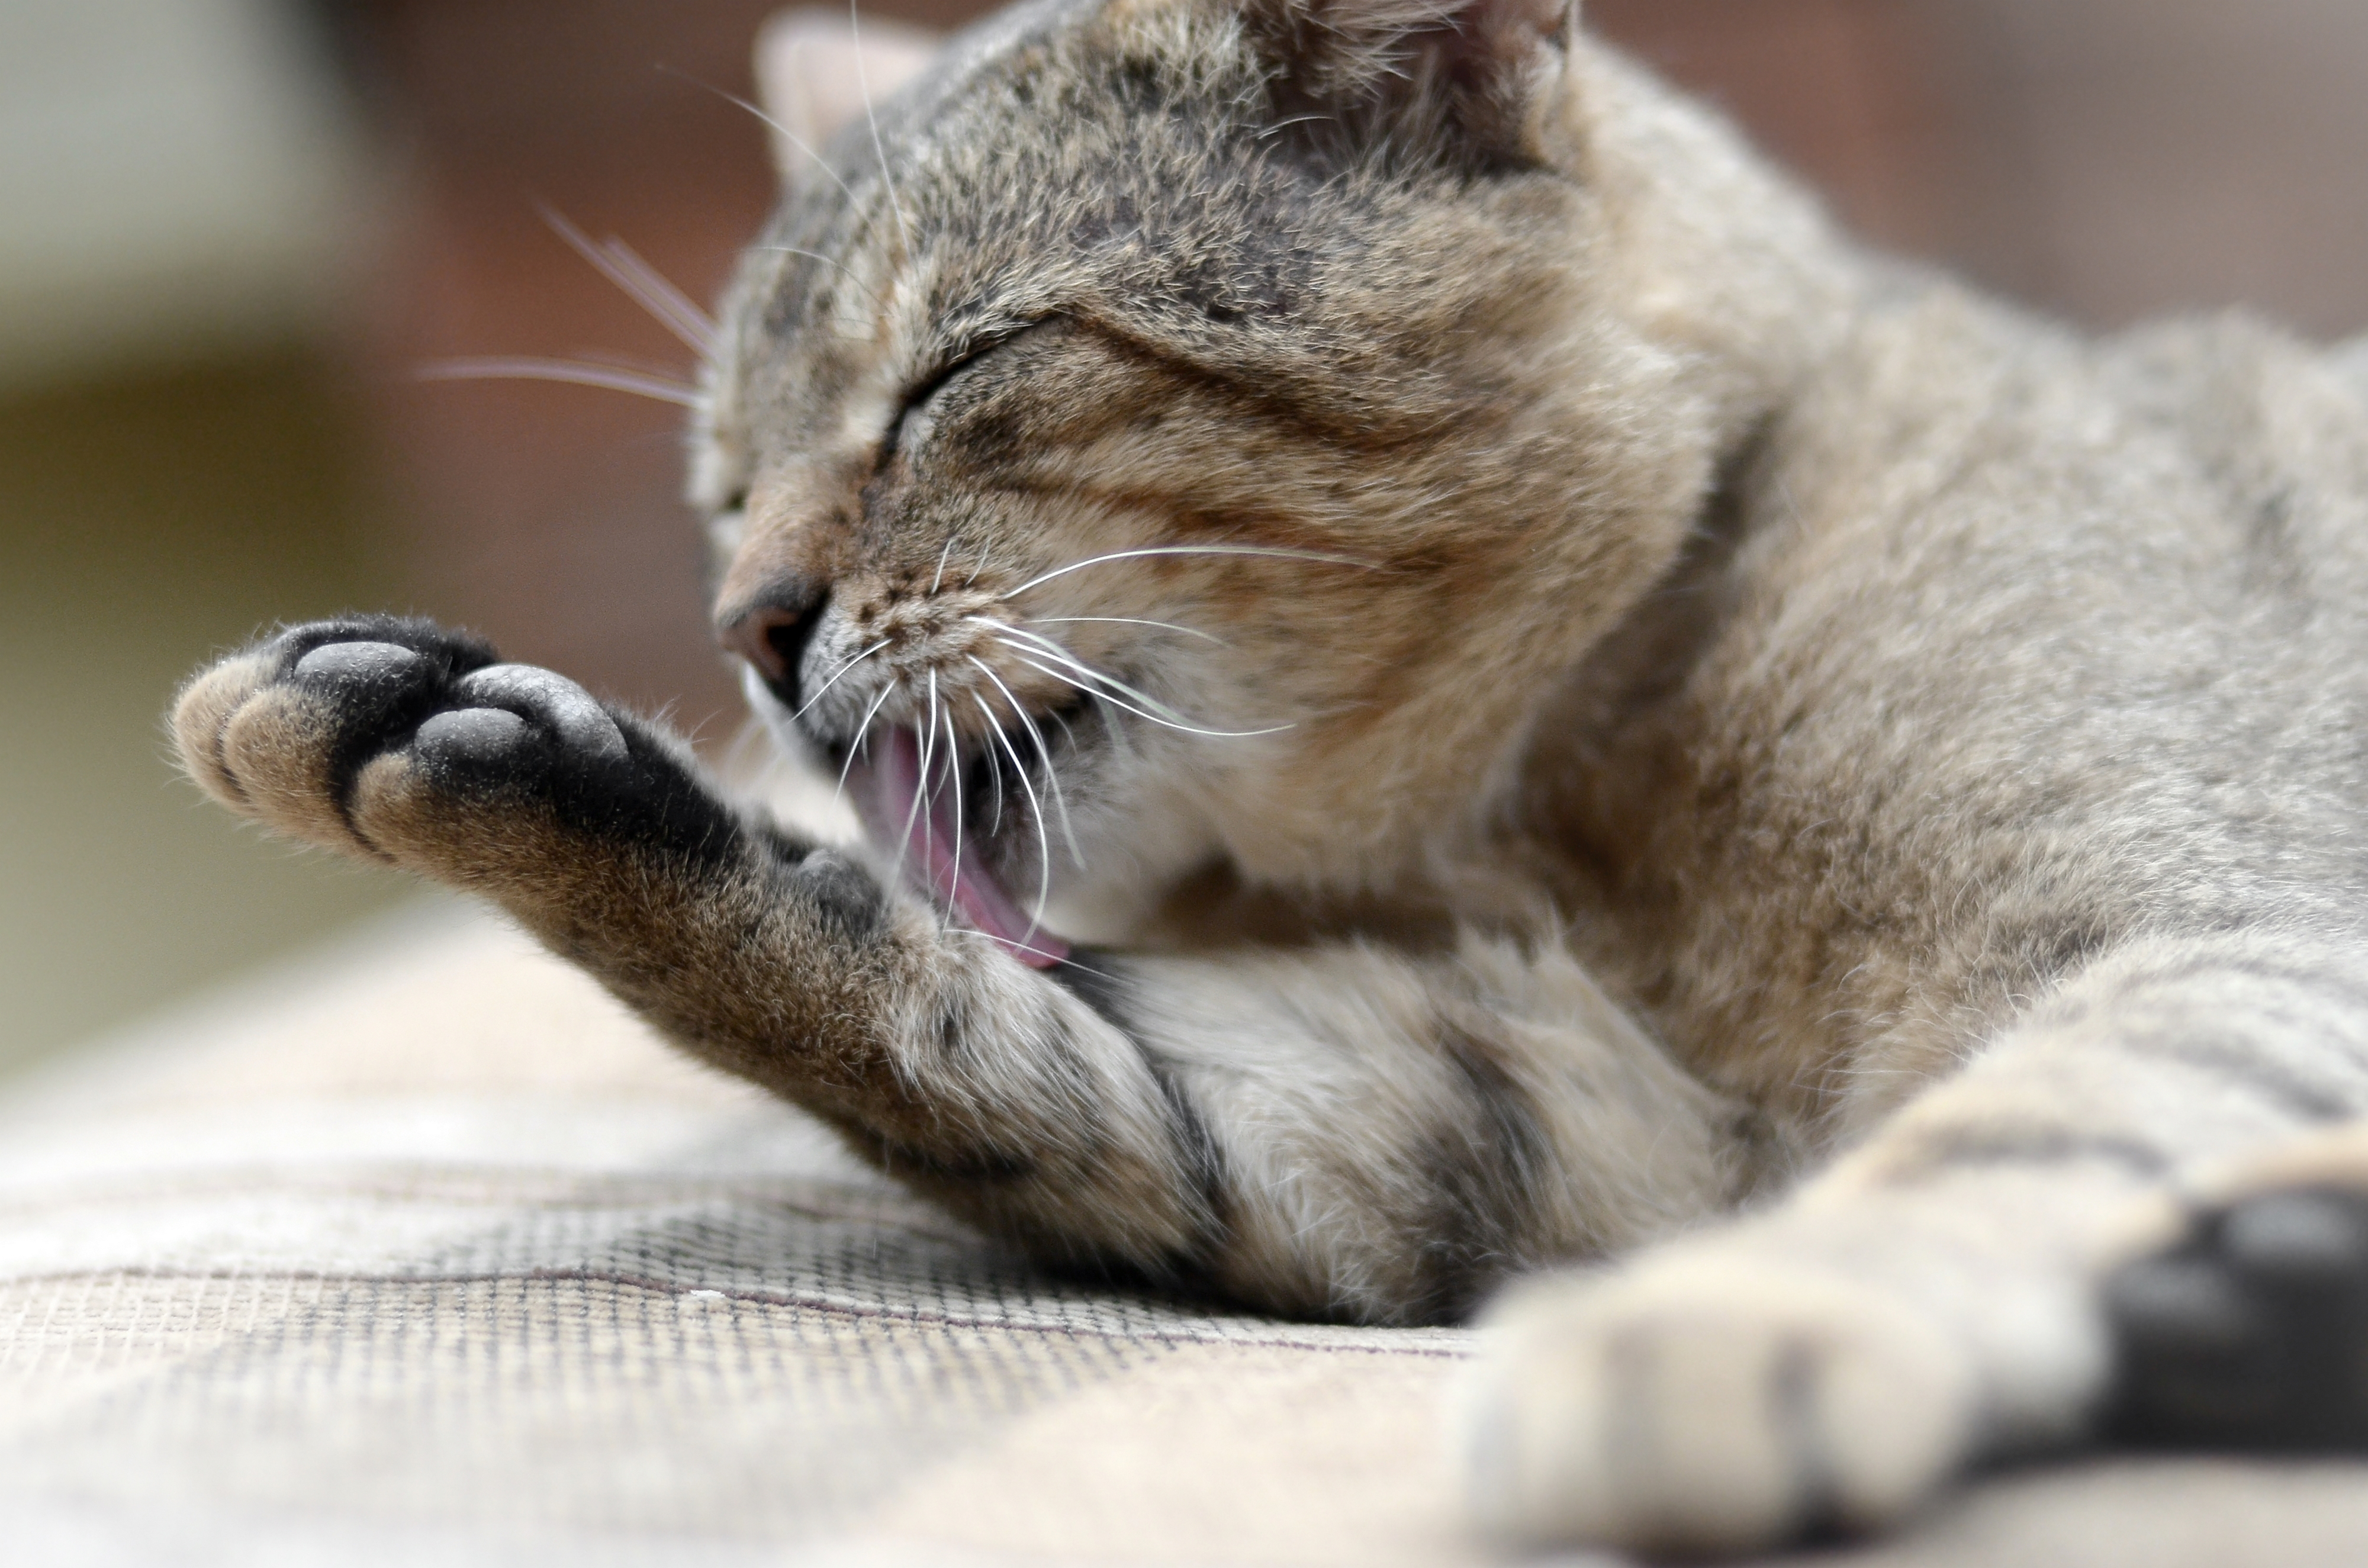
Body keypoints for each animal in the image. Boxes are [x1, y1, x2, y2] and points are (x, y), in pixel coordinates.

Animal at [172, 0, 2368, 1553]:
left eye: (957, 374)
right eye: (723, 481)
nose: (745, 625)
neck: (1552, 824)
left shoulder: (2222, 929)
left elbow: (2006, 1126)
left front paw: (1732, 1326)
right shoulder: (1536, 1120)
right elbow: (986, 1039)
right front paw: (467, 744)